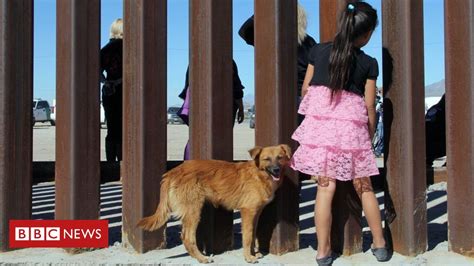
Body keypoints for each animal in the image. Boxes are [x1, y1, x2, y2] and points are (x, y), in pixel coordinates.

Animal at [137, 144, 290, 262]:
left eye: (280, 157)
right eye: (267, 159)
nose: (276, 170)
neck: (260, 174)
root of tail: (173, 172)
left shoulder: (255, 213)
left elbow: (252, 235)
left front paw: (254, 253)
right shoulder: (247, 211)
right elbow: (247, 236)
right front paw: (248, 257)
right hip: (194, 211)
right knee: (187, 237)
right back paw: (201, 258)